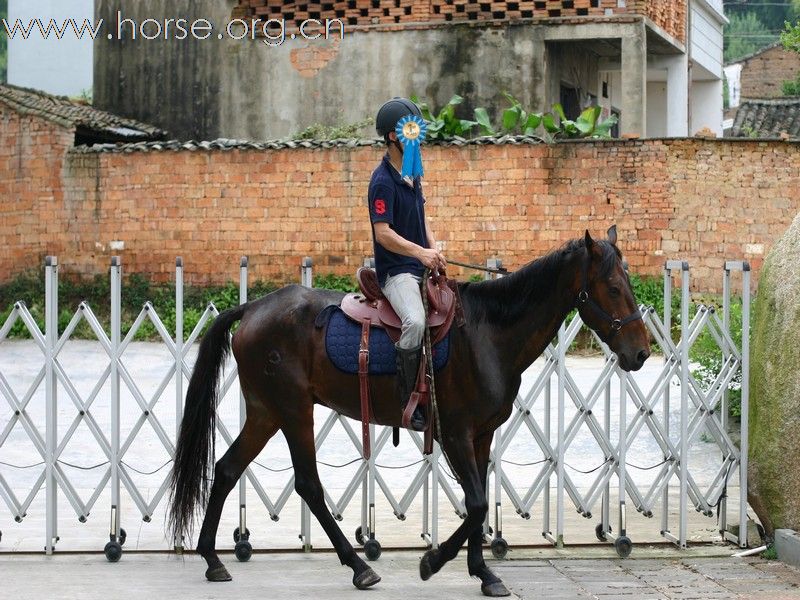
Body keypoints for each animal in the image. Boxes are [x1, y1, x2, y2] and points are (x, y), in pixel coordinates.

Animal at [167, 227, 648, 596]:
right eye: (613, 287)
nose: (641, 352)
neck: (488, 332)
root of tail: (253, 307)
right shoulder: (456, 433)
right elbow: (476, 504)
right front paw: (433, 562)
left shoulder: (482, 435)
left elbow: (479, 503)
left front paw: (483, 572)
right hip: (293, 412)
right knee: (308, 485)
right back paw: (358, 566)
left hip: (266, 412)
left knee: (227, 469)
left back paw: (212, 558)